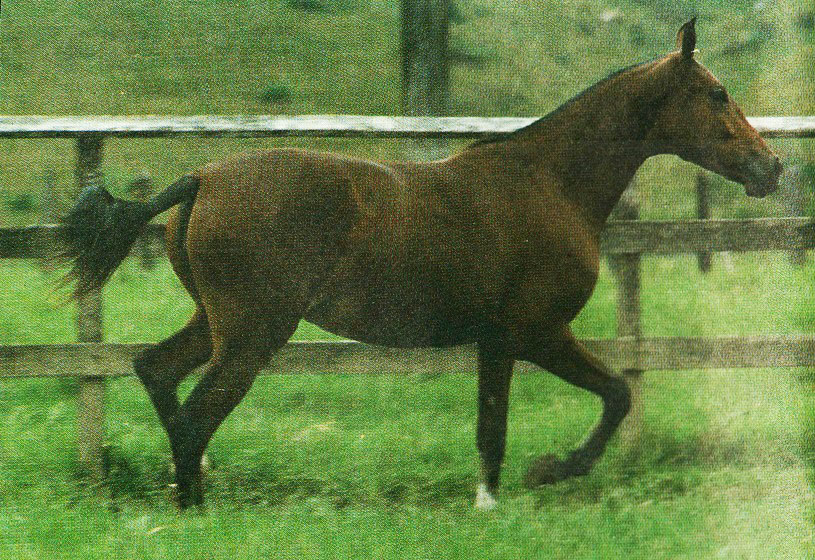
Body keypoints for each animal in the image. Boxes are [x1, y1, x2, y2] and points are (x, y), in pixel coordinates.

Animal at [60, 19, 780, 510]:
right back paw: (195, 509)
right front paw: (544, 473)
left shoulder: (501, 340)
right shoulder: (533, 332)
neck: (550, 183)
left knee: (156, 372)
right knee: (194, 414)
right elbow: (592, 400)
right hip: (252, 332)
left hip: (217, 322)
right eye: (716, 93)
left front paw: (500, 497)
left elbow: (515, 423)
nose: (770, 167)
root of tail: (202, 179)